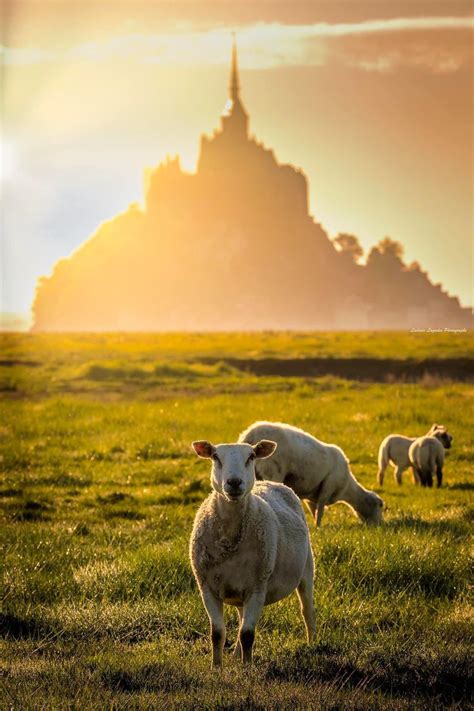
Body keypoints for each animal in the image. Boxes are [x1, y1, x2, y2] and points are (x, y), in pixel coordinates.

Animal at [188, 440, 314, 668]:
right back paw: (236, 655)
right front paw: (216, 668)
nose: (234, 482)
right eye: (215, 457)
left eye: (251, 456)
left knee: (307, 609)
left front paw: (247, 669)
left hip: (307, 567)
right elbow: (217, 634)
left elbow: (247, 634)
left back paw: (313, 644)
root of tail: (271, 483)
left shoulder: (258, 587)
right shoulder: (207, 587)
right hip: (239, 590)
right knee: (240, 619)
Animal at [239, 422, 384, 528]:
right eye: (380, 506)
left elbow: (314, 511)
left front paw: (314, 527)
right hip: (272, 471)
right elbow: (320, 511)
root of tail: (249, 435)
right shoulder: (328, 487)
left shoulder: (311, 495)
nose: (379, 526)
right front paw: (318, 528)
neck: (347, 488)